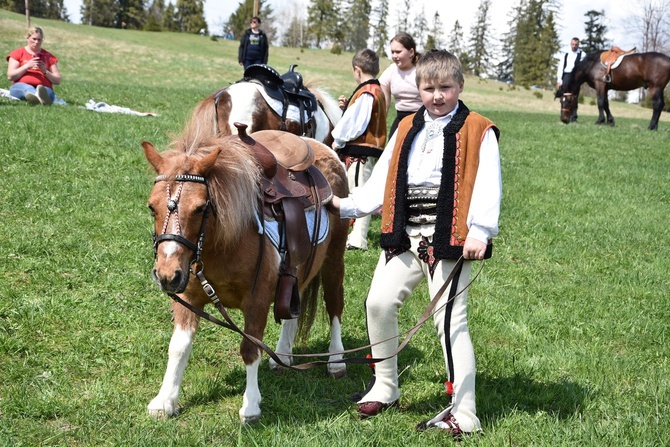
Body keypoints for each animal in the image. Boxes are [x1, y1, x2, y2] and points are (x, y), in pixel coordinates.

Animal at [143, 120, 352, 424]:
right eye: (151, 207)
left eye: (200, 208)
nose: (167, 275)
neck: (222, 242)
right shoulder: (188, 298)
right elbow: (178, 347)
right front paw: (165, 400)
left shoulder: (257, 300)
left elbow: (250, 349)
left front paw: (251, 405)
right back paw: (283, 355)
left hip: (334, 260)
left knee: (335, 304)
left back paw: (336, 360)